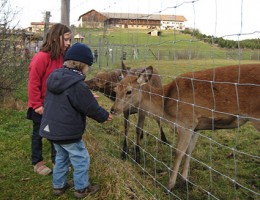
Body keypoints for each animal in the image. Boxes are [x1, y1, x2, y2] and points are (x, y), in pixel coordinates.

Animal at [110, 64, 260, 191]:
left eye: (129, 91)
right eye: (115, 89)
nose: (113, 110)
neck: (166, 107)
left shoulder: (186, 123)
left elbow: (178, 153)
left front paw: (169, 185)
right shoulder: (196, 127)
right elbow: (189, 152)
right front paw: (184, 181)